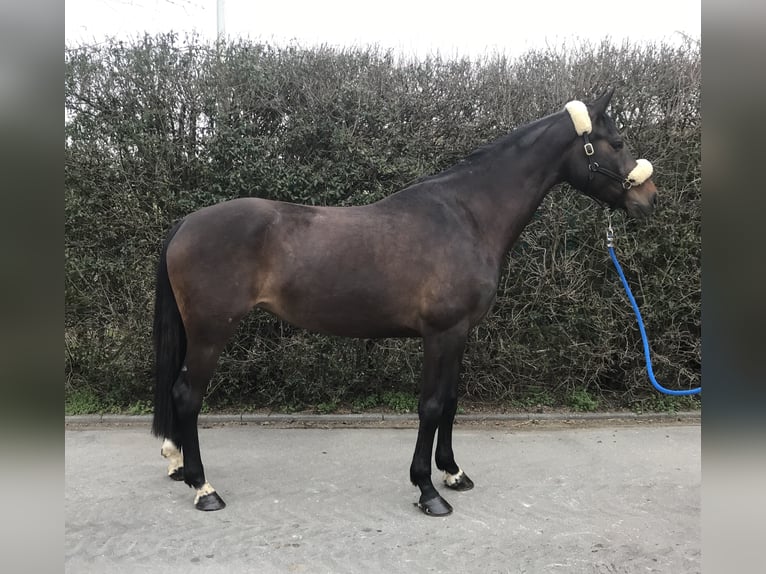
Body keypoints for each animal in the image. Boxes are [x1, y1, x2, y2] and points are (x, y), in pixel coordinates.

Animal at [152, 88, 657, 516]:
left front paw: (453, 473)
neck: (466, 216)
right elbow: (430, 406)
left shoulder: (460, 334)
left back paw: (179, 466)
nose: (648, 198)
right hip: (210, 333)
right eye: (615, 142)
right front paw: (428, 491)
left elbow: (450, 401)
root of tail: (186, 224)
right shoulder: (441, 333)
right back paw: (203, 488)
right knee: (187, 395)